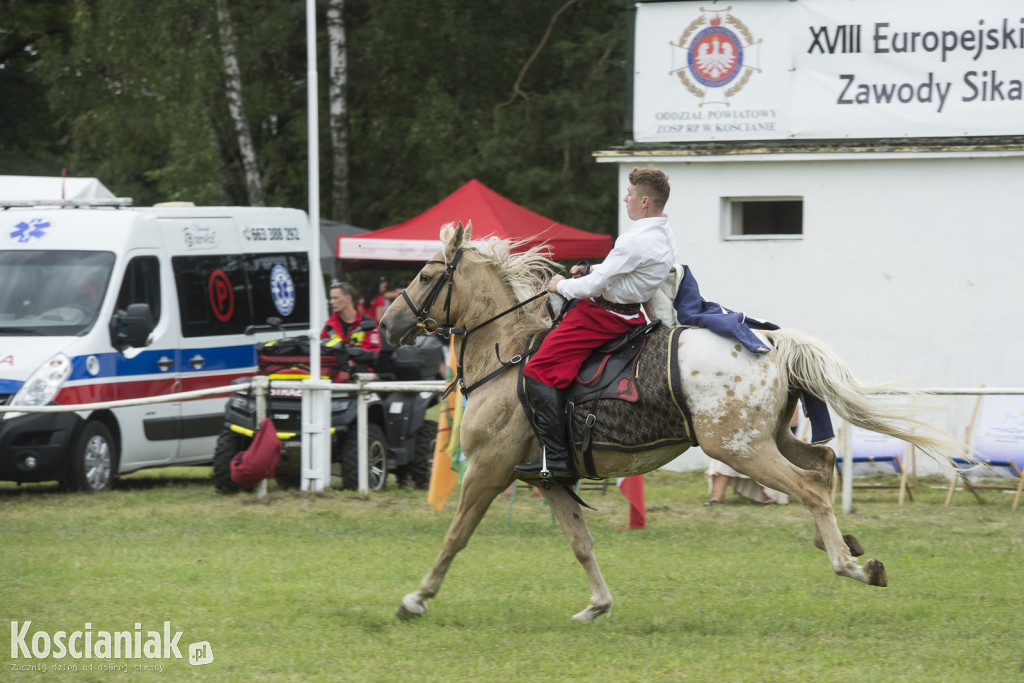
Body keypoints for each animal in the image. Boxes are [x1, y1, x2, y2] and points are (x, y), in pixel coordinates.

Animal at [378, 222, 966, 622]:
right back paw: (844, 545)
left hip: (740, 448)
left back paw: (849, 564)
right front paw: (597, 605)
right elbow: (581, 544)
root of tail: (772, 341)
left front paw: (415, 599)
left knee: (810, 487)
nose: (386, 323)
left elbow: (455, 537)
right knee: (821, 463)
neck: (508, 356)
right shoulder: (550, 480)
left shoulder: (487, 471)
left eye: (427, 274)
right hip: (768, 438)